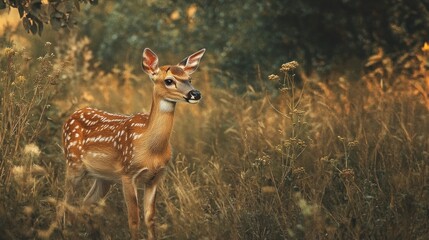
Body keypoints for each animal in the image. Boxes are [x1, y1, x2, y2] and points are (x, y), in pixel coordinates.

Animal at [60, 47, 206, 239]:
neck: (150, 148)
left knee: (85, 203)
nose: (195, 94)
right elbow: (134, 220)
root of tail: (70, 116)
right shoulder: (128, 173)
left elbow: (150, 218)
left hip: (103, 177)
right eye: (169, 80)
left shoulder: (155, 177)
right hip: (73, 163)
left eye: (189, 79)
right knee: (65, 203)